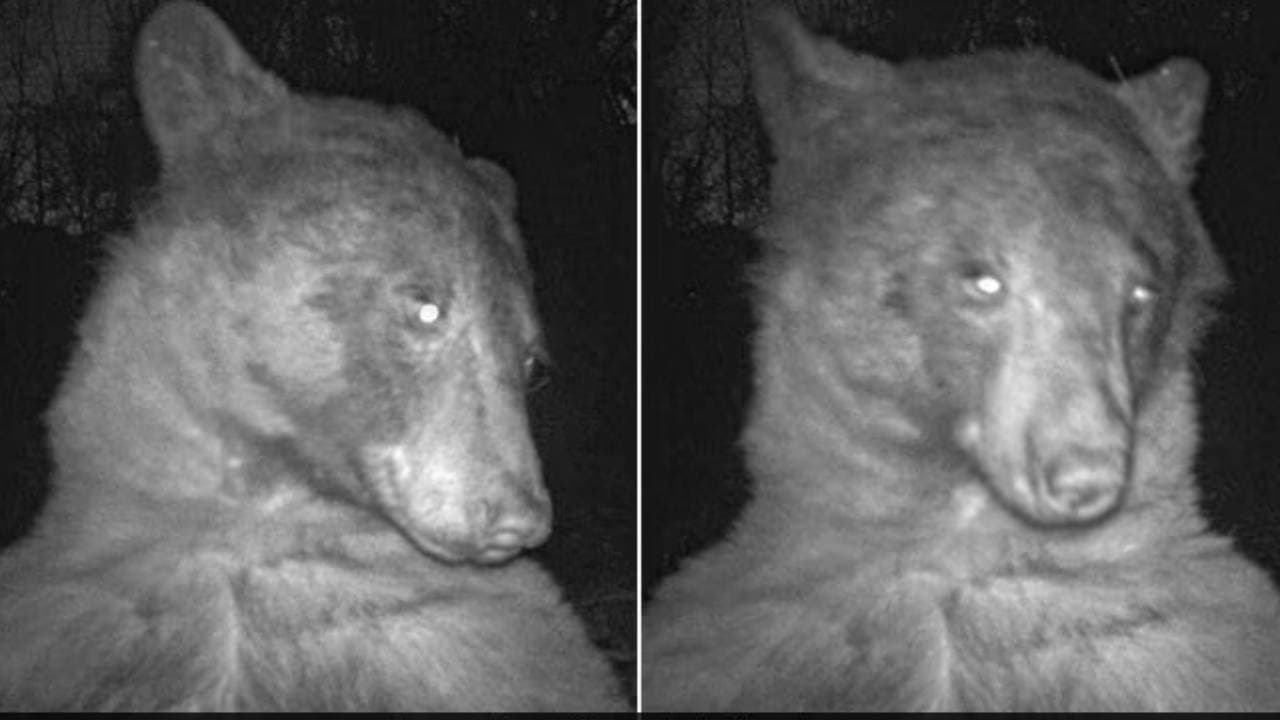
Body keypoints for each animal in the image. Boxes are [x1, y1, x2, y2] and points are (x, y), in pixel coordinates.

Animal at [0, 2, 626, 711]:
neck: (265, 510)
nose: (519, 516)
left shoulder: (473, 647)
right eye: (427, 307)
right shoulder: (75, 615)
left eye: (531, 364)